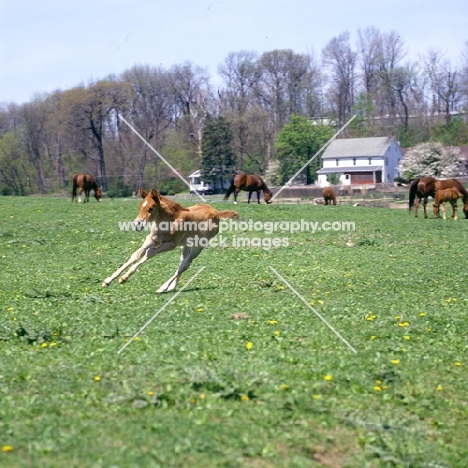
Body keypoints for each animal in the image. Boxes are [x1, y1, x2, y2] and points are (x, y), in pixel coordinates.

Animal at [103, 189, 241, 292]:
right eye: (140, 207)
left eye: (151, 208)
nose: (137, 224)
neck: (167, 222)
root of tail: (216, 212)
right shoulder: (151, 239)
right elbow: (136, 255)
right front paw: (108, 280)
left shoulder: (170, 245)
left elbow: (149, 253)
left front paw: (124, 278)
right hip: (185, 245)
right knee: (182, 262)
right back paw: (172, 287)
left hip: (198, 246)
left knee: (185, 264)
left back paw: (163, 287)